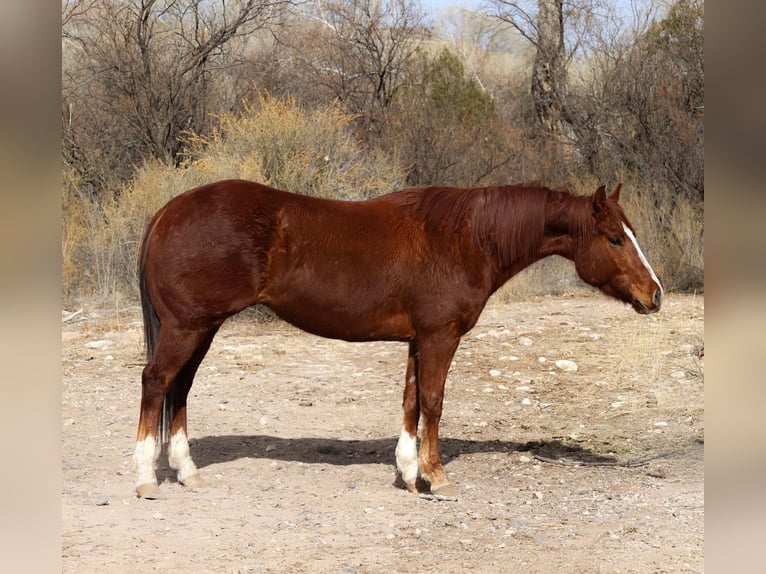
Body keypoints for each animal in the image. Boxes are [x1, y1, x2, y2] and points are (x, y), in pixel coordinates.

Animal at [133, 179, 663, 499]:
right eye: (615, 238)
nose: (654, 295)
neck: (465, 238)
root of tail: (167, 211)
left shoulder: (417, 339)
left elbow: (410, 401)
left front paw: (409, 474)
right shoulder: (440, 337)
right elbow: (433, 400)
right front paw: (438, 477)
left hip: (202, 328)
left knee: (180, 389)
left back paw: (186, 471)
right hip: (187, 327)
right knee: (157, 382)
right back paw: (145, 477)